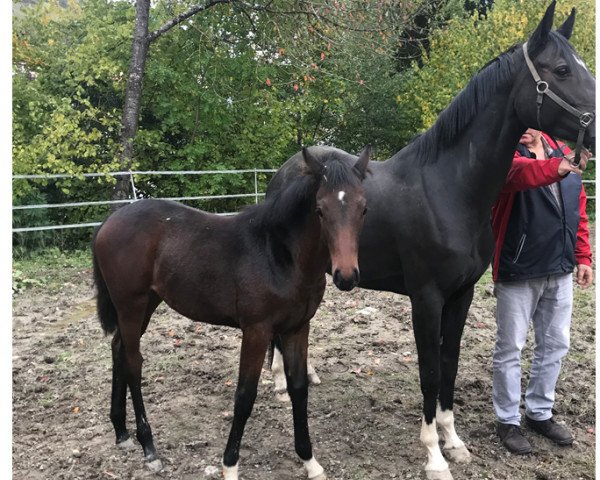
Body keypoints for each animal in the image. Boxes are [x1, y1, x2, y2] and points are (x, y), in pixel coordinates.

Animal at [92, 147, 370, 480]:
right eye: (320, 209)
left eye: (363, 209)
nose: (346, 276)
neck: (280, 256)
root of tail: (109, 221)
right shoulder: (256, 330)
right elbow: (245, 395)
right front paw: (230, 465)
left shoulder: (298, 327)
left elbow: (299, 389)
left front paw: (310, 461)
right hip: (131, 305)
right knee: (133, 362)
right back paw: (149, 447)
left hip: (146, 303)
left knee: (118, 348)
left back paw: (121, 433)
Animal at [268, 2, 596, 476]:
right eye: (562, 69)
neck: (448, 188)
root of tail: (288, 170)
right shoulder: (426, 298)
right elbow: (429, 372)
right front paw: (434, 455)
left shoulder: (461, 296)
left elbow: (450, 365)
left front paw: (454, 441)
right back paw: (279, 383)